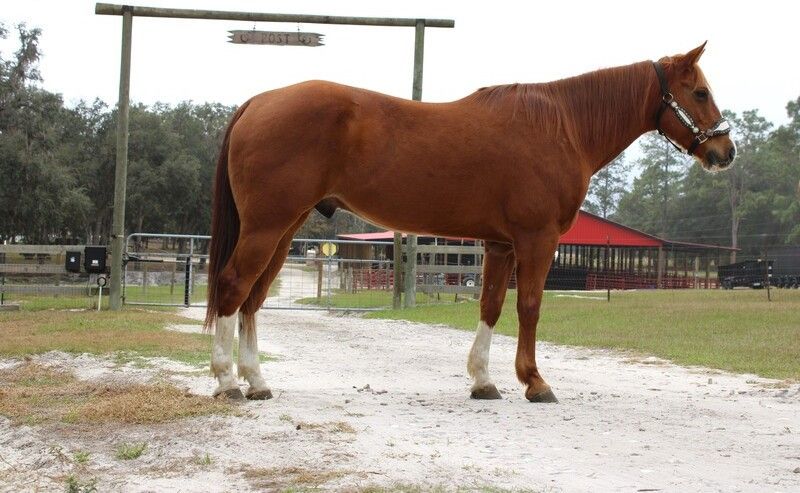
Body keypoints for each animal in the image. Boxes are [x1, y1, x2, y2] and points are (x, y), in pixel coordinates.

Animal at [204, 42, 735, 402]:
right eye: (700, 92)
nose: (725, 152)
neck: (562, 126)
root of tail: (259, 101)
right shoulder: (537, 240)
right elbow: (530, 307)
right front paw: (535, 382)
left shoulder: (500, 245)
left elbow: (492, 306)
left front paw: (483, 380)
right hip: (267, 227)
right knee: (233, 287)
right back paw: (228, 380)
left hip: (283, 229)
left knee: (253, 298)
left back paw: (257, 381)